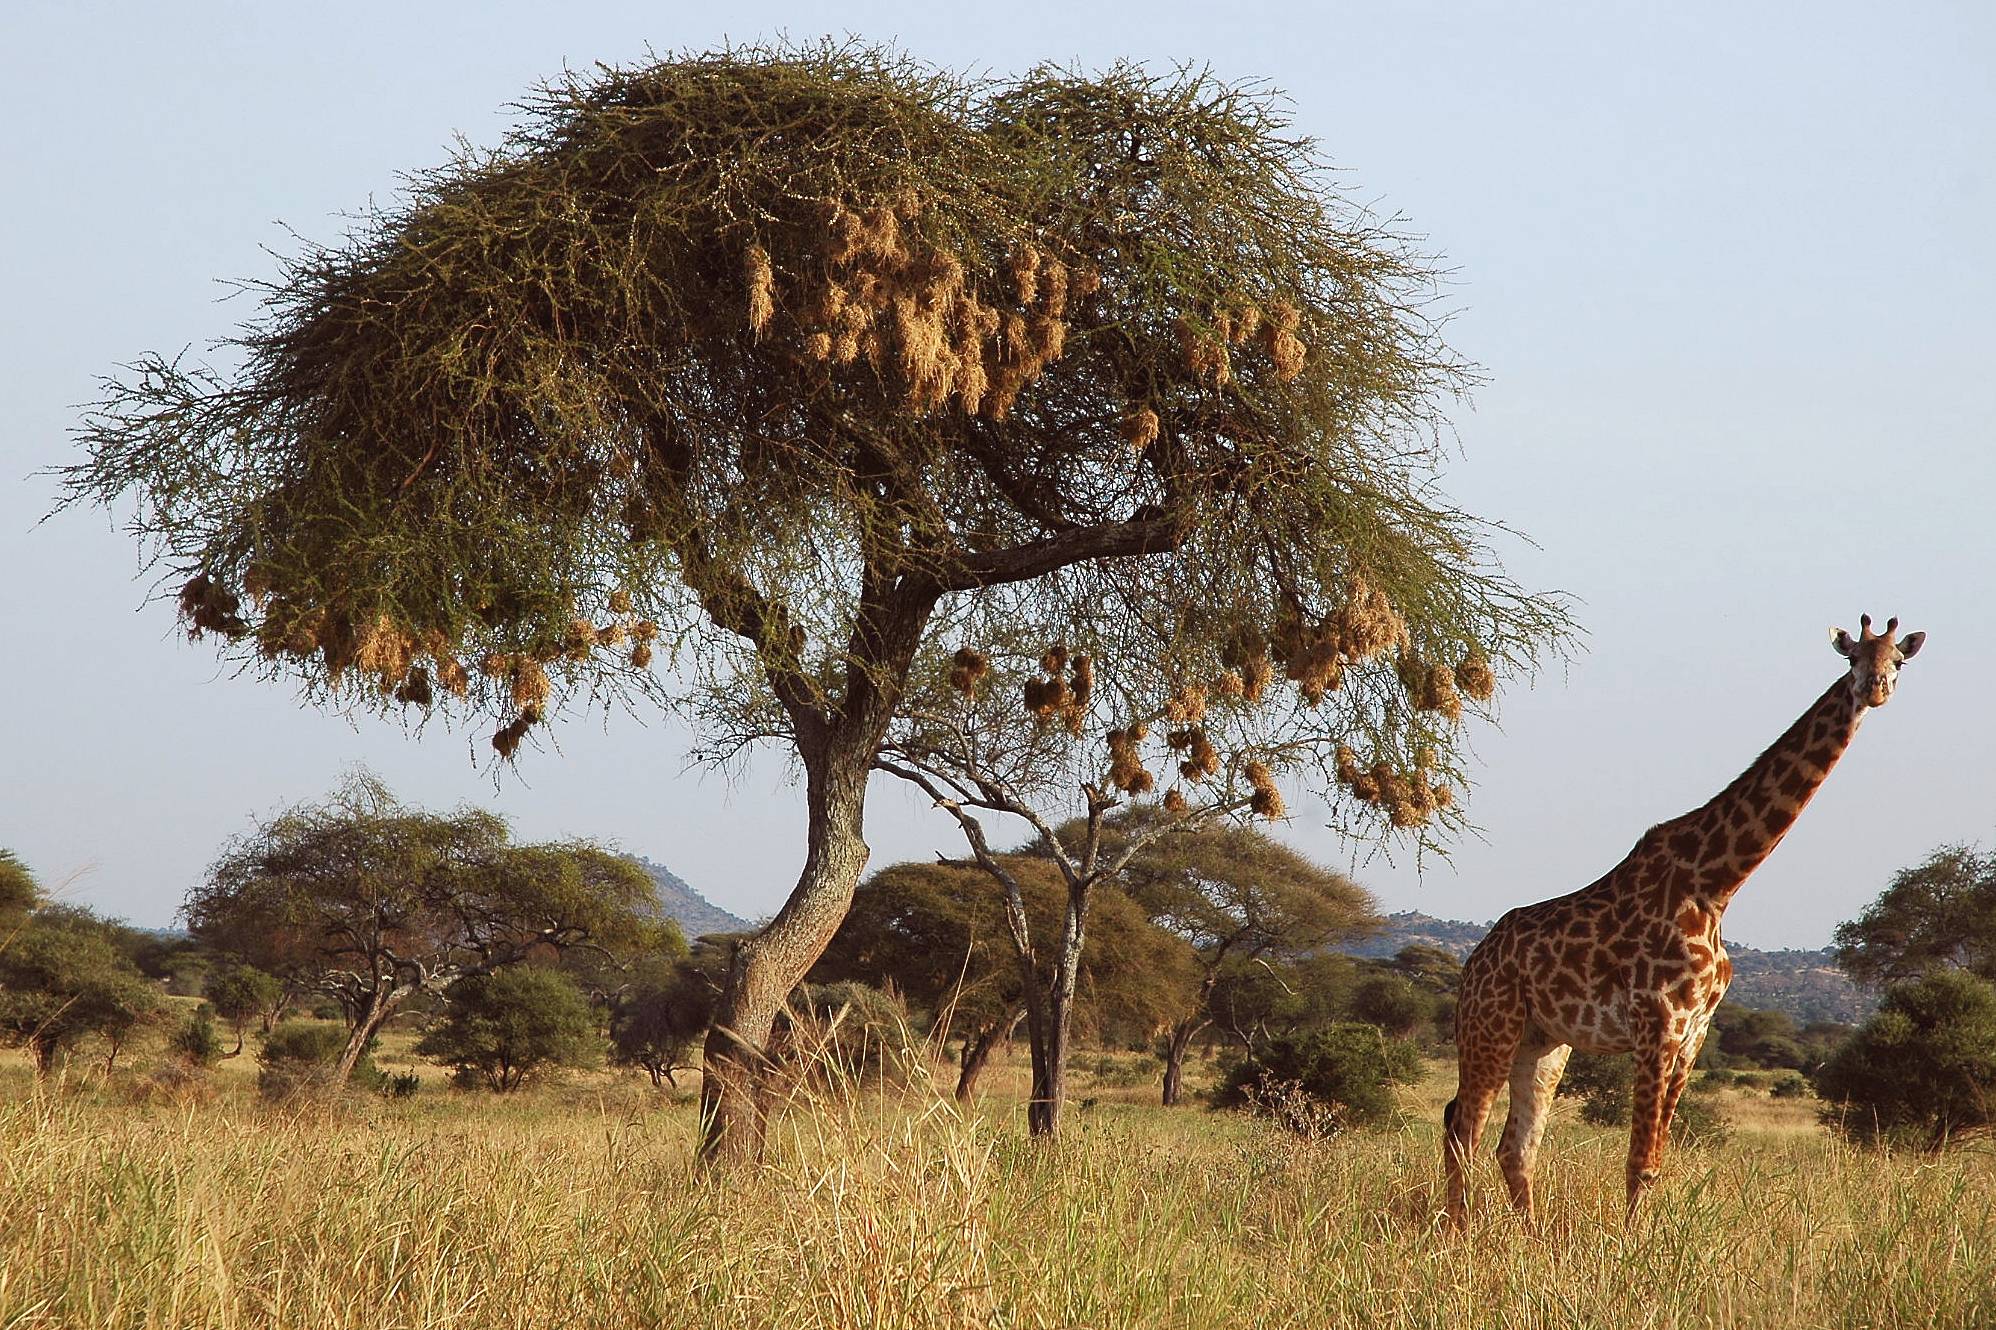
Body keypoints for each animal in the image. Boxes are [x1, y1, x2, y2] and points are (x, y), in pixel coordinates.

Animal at [1443, 614, 1925, 1228]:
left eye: (1899, 660)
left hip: (1544, 1041)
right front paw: (1629, 1246)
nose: (1876, 687)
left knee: (1514, 1145)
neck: (1717, 885)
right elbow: (1639, 1159)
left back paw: (1528, 1240)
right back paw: (1459, 1236)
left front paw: (1637, 1240)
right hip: (1490, 1026)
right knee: (1463, 1130)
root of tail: (1473, 962)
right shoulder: (1658, 1023)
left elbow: (1656, 1159)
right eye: (1852, 657)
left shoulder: (1694, 1033)